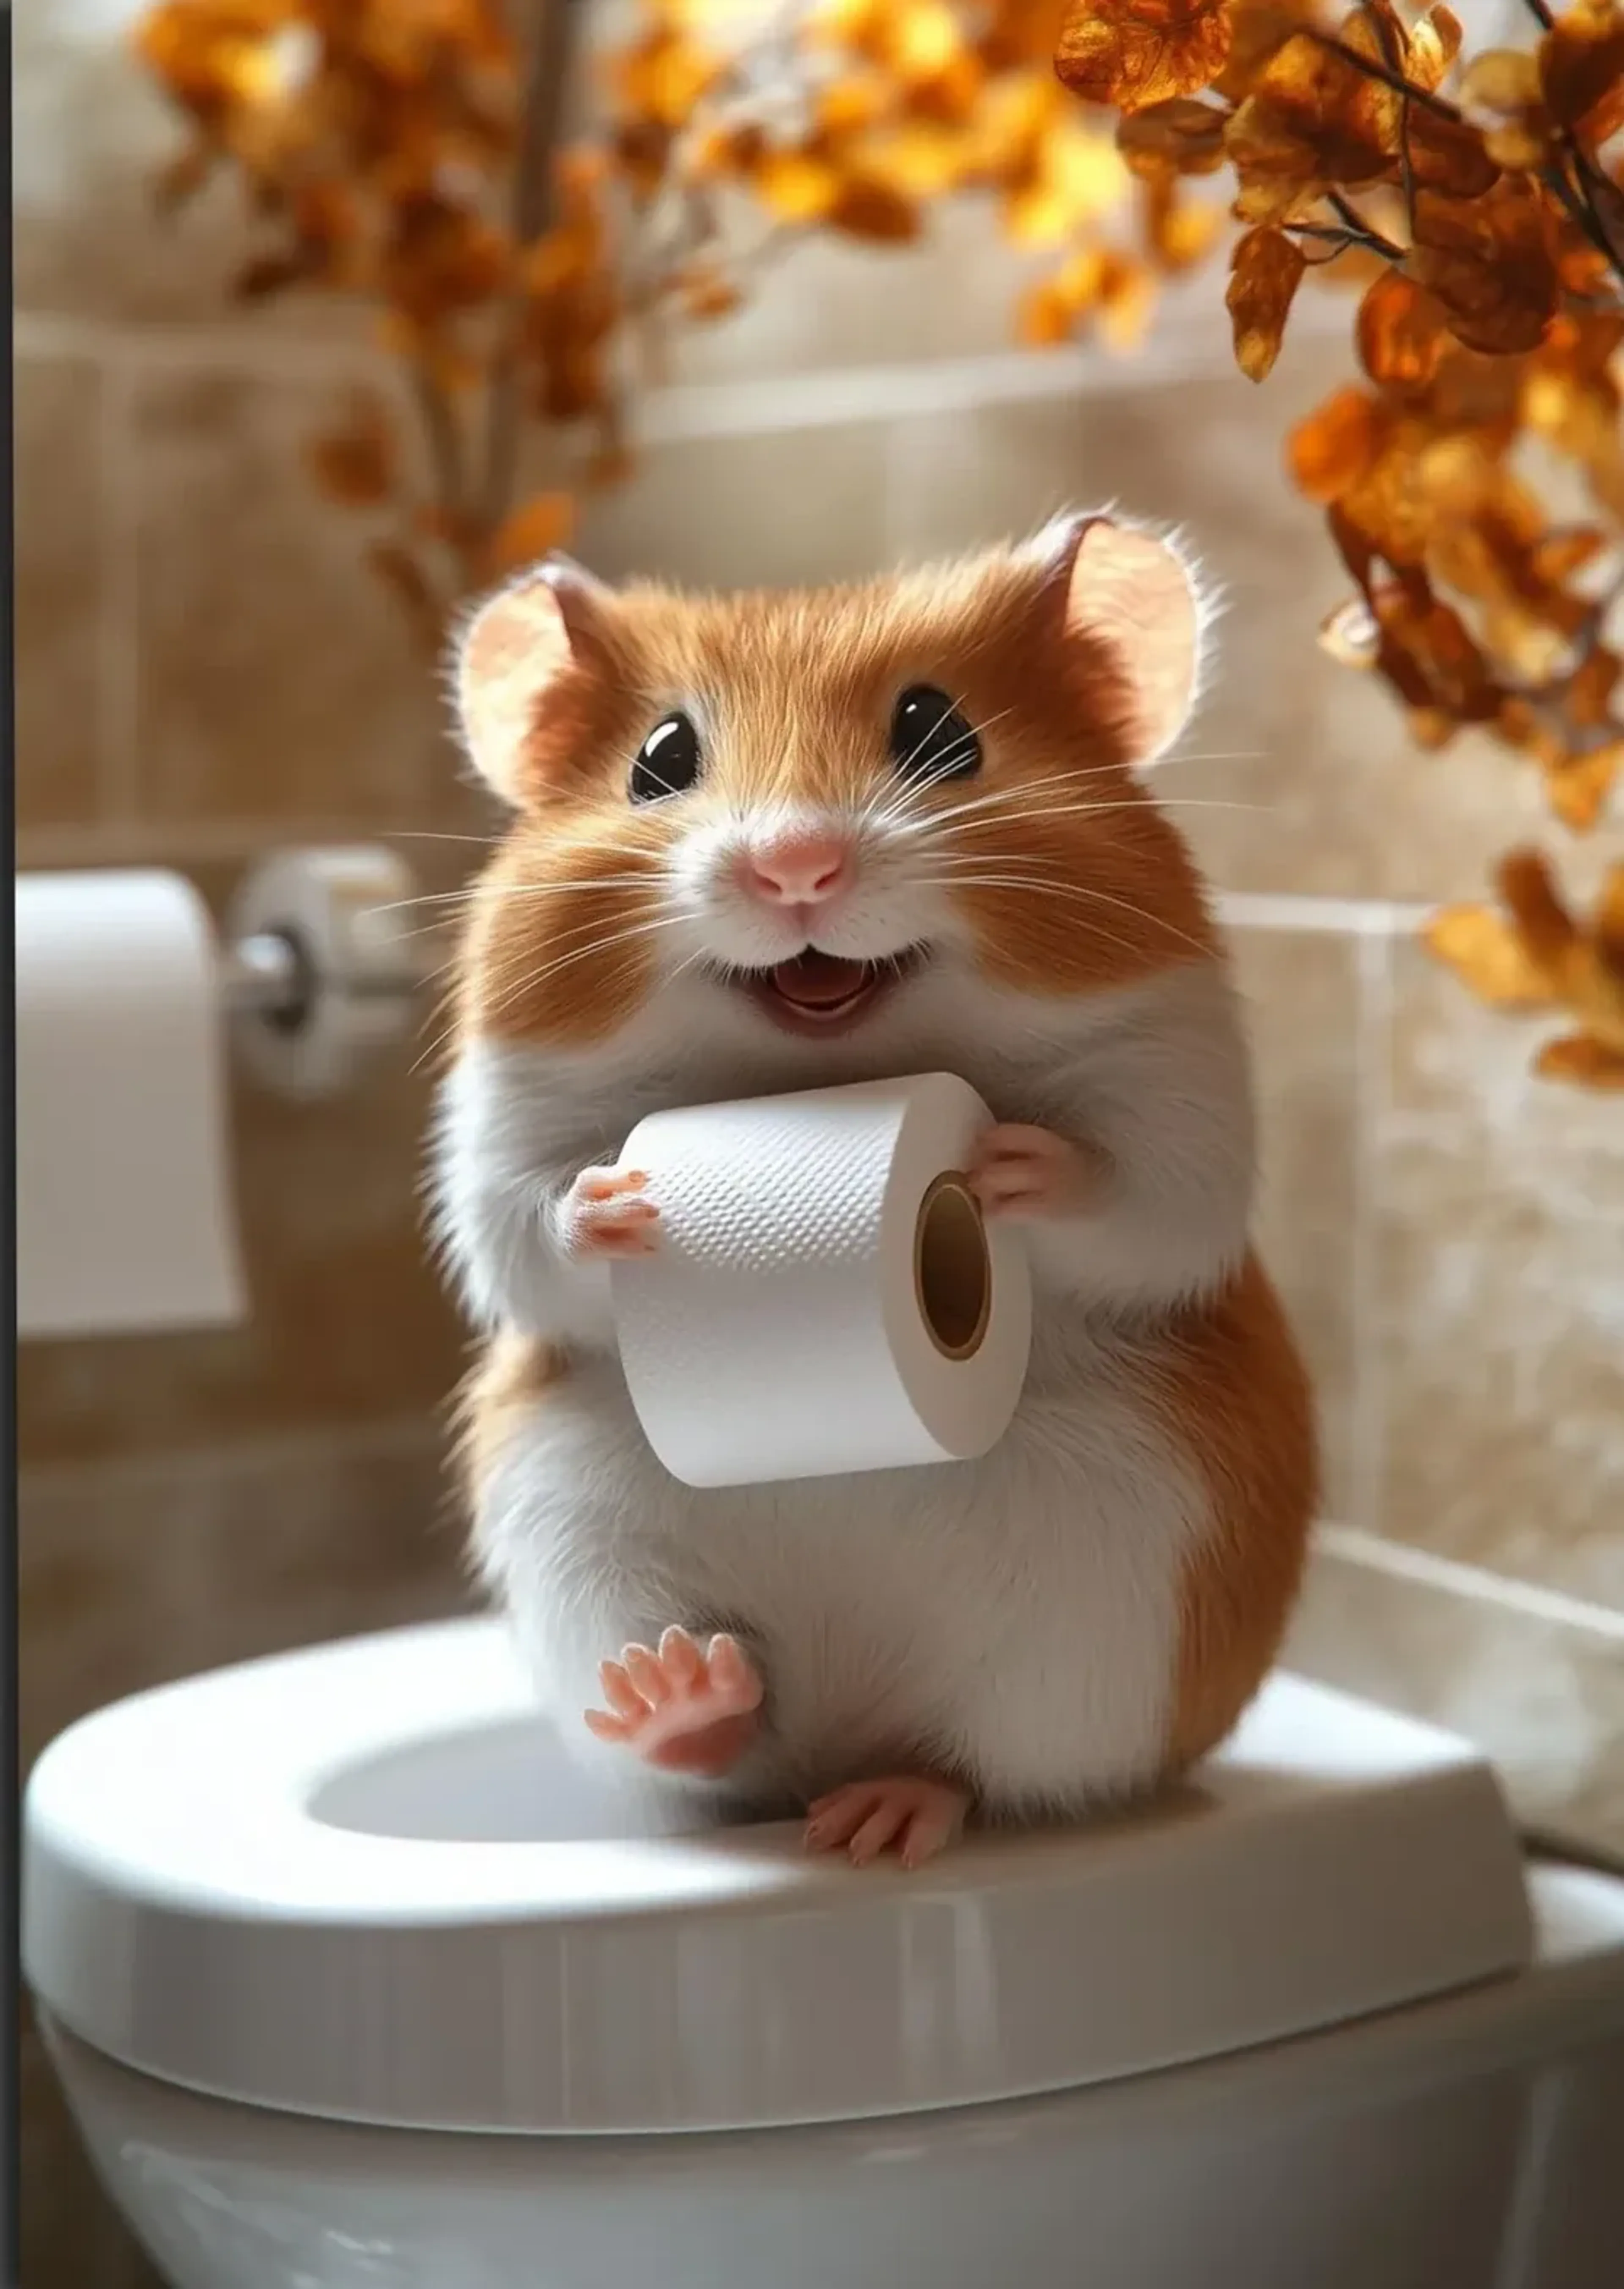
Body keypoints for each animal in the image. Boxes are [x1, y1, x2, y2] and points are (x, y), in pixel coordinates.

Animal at [433, 511, 1319, 1869]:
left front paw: (1005, 1162)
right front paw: (620, 1202)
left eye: (938, 731)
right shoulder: (498, 1134)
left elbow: (1136, 1189)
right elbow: (533, 1223)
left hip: (1101, 1626)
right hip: (578, 1541)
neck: (828, 1062)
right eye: (660, 760)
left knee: (976, 1770)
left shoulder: (1182, 1093)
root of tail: (840, 1740)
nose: (796, 867)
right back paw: (681, 1694)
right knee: (718, 1740)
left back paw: (876, 1825)